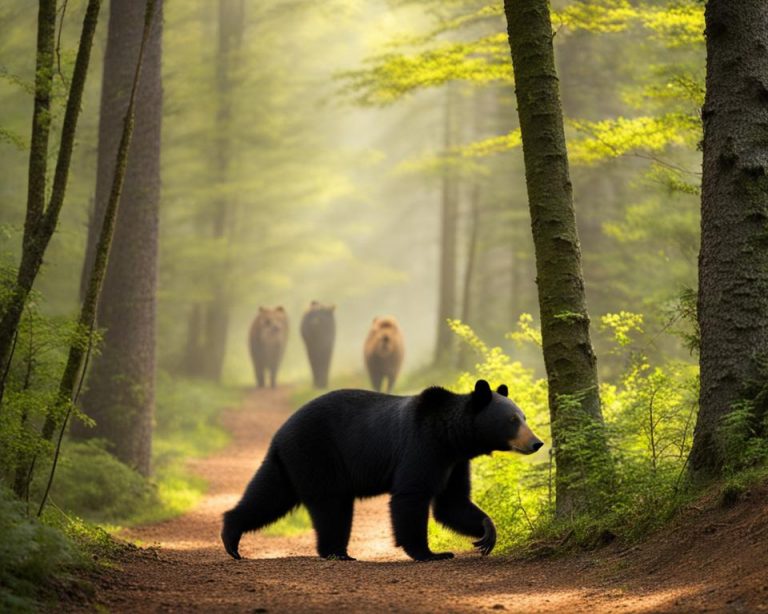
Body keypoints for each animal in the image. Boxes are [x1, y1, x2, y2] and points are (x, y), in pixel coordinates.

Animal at [221, 379, 544, 562]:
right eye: (513, 420)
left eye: (524, 417)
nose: (537, 442)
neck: (452, 436)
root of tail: (280, 432)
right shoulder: (422, 446)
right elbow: (411, 495)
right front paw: (430, 553)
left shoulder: (454, 461)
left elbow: (452, 502)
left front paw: (486, 533)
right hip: (317, 452)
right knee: (330, 506)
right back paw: (336, 551)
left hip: (289, 462)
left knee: (269, 495)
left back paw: (232, 534)